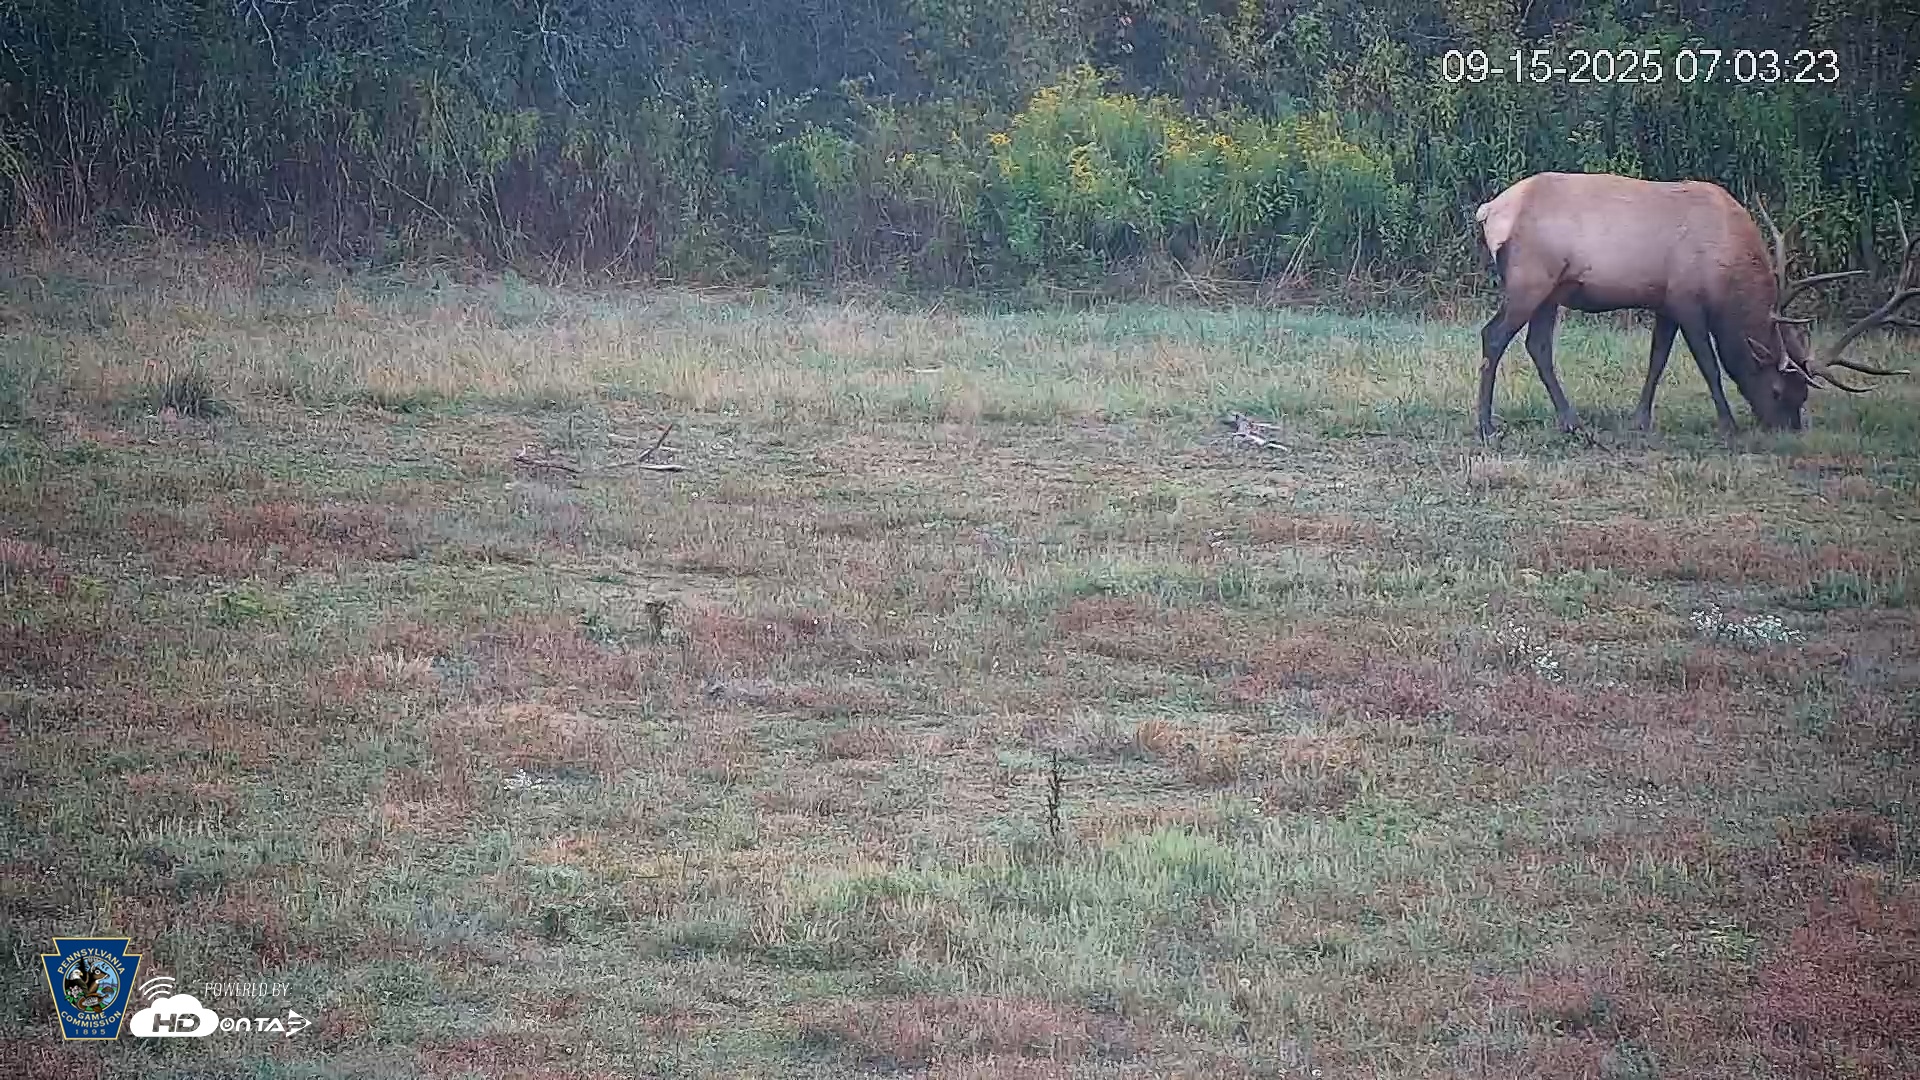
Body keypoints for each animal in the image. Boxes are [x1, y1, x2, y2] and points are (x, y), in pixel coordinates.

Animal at [1471, 171, 1916, 440]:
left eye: (1803, 395)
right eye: (1779, 390)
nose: (1787, 430)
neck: (1727, 266)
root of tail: (1489, 211)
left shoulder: (1664, 301)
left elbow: (1657, 359)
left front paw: (1641, 420)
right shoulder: (1687, 299)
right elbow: (1709, 364)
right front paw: (1728, 423)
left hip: (1553, 291)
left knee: (1538, 346)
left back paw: (1571, 421)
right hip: (1530, 279)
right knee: (1493, 335)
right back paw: (1487, 425)